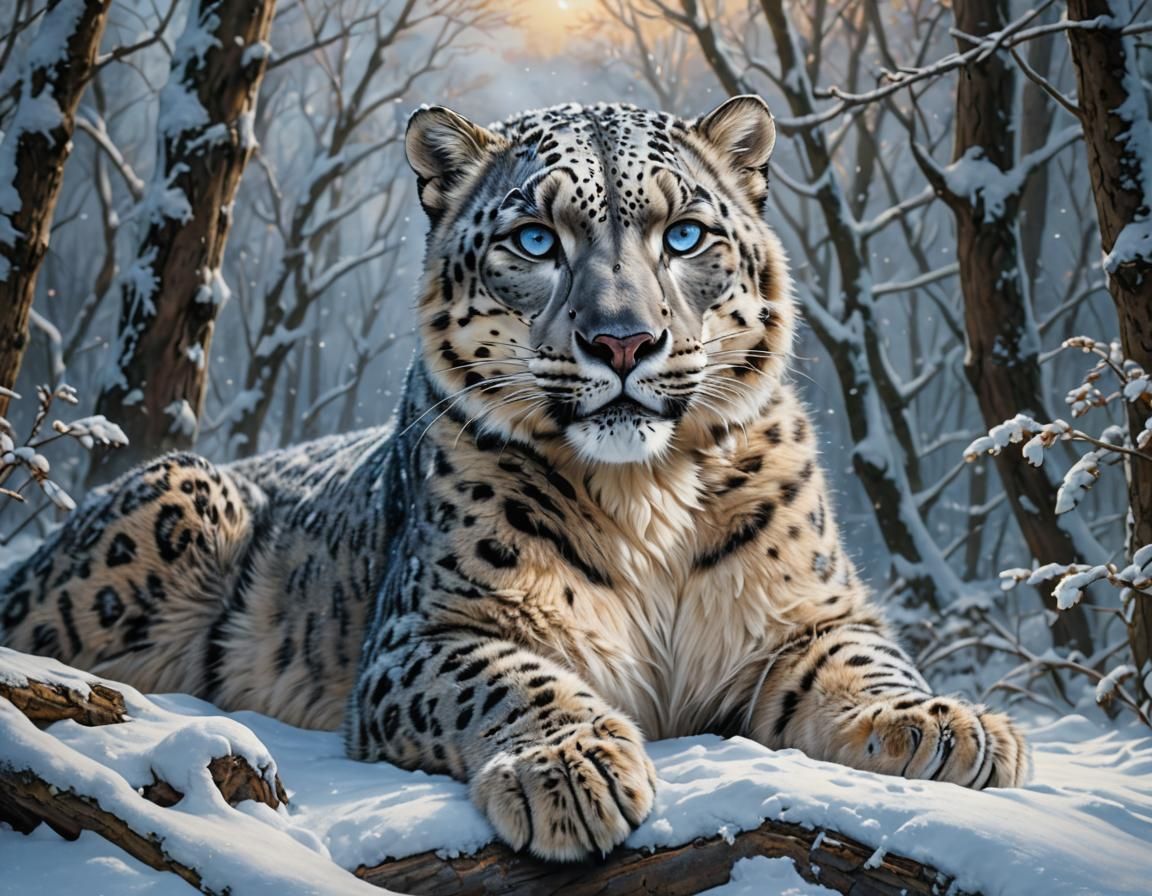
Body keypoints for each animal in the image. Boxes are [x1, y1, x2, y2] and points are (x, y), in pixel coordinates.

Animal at [0, 96, 1027, 862]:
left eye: (685, 234)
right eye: (536, 240)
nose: (623, 340)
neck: (648, 500)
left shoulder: (809, 610)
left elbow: (863, 658)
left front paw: (947, 726)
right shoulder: (428, 631)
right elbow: (504, 678)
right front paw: (571, 772)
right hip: (183, 502)